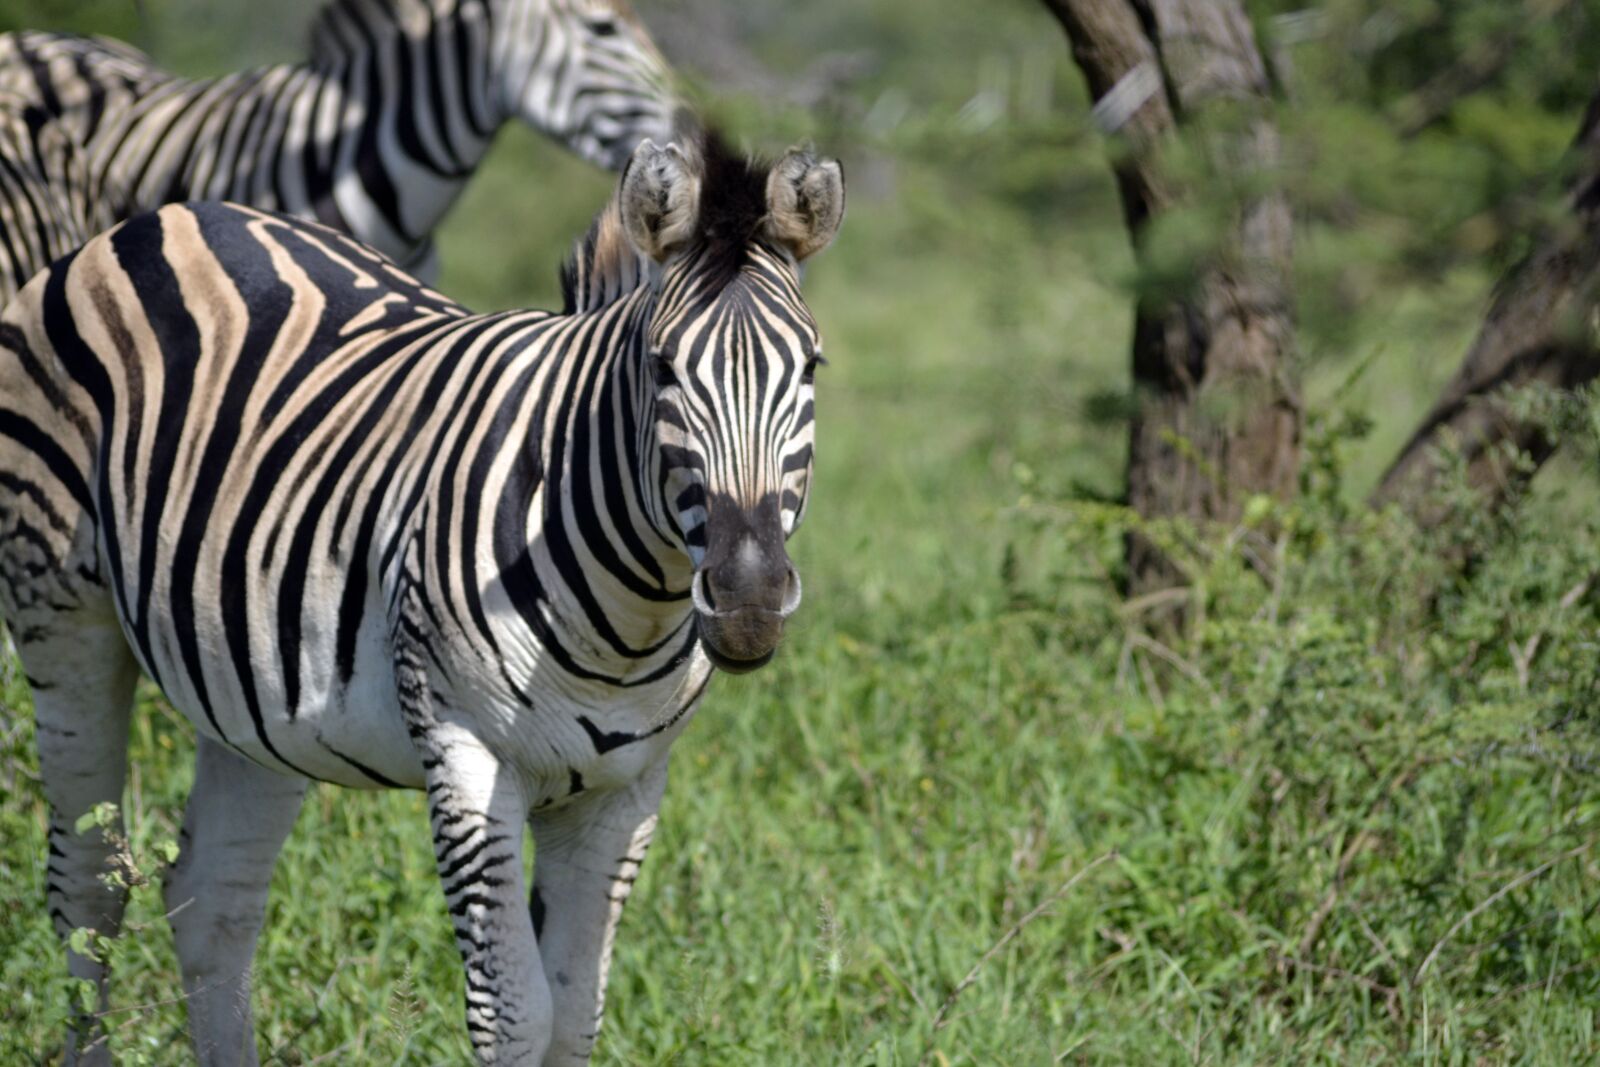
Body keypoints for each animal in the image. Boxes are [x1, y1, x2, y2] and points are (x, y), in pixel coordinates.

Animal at [0, 130, 843, 1065]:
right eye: (662, 370)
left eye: (811, 368)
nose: (748, 601)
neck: (632, 615)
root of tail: (171, 216)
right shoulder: (467, 750)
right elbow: (516, 1013)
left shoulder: (623, 790)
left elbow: (575, 1011)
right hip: (59, 616)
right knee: (87, 884)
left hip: (250, 691)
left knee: (215, 898)